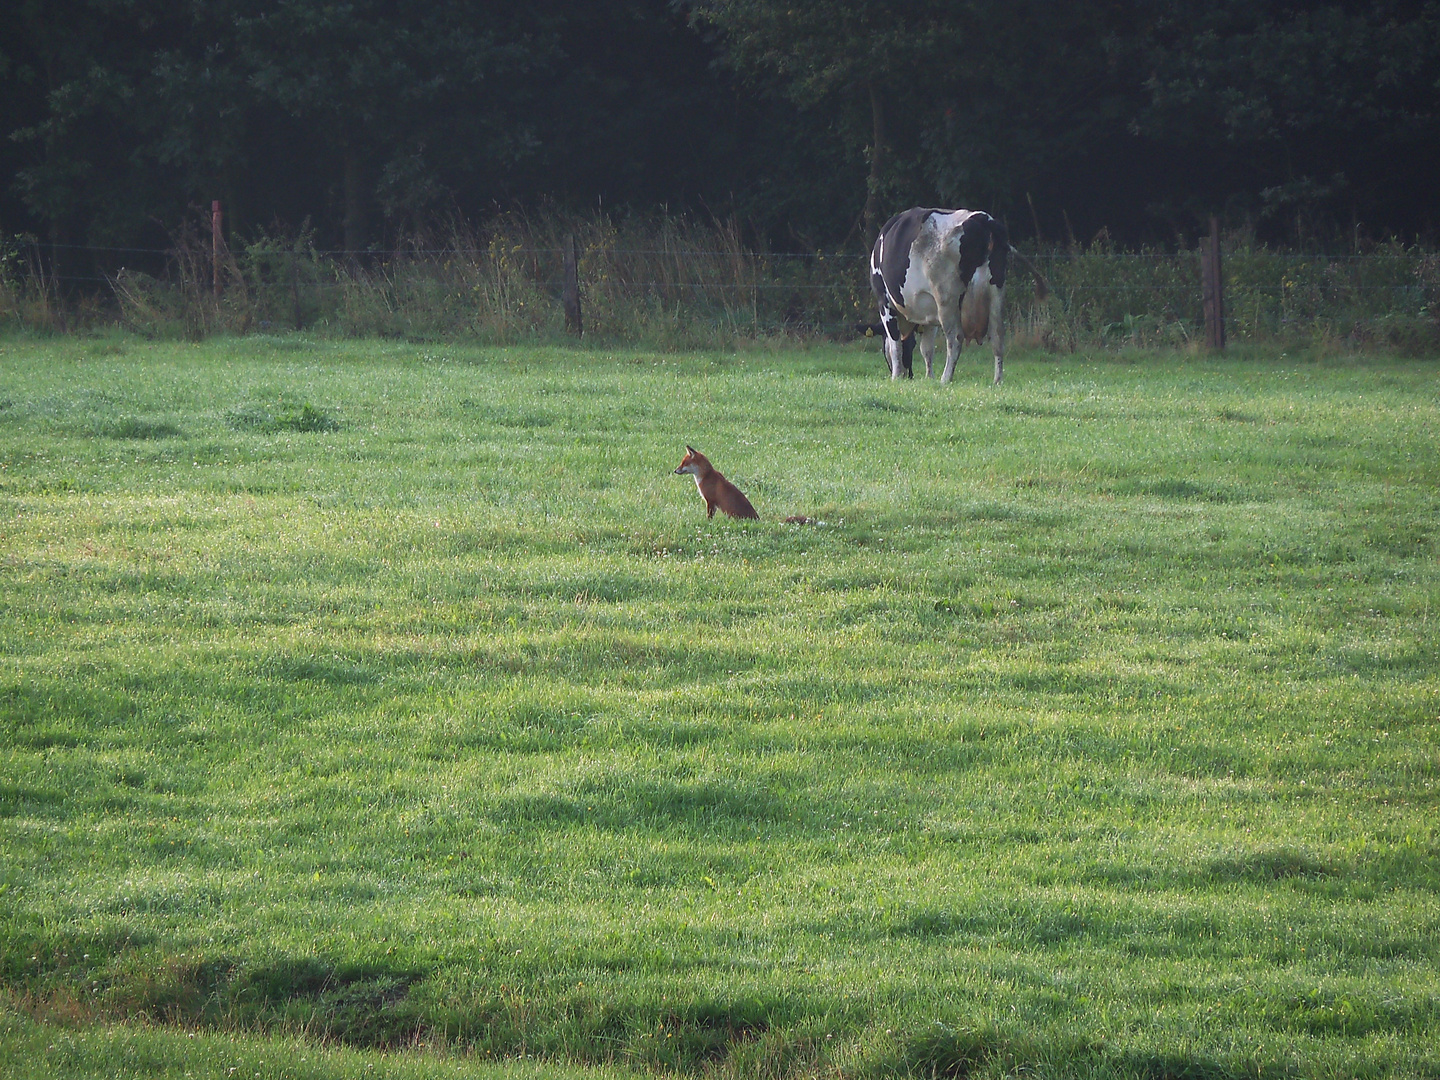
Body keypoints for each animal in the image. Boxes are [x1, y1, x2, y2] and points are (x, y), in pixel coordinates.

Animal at [864, 204, 1013, 385]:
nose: (908, 375)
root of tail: (982, 219)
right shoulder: (928, 311)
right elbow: (927, 349)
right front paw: (929, 377)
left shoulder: (884, 301)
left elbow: (895, 344)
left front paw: (896, 376)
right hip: (995, 293)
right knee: (998, 337)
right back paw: (997, 380)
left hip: (946, 298)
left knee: (955, 338)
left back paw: (946, 378)